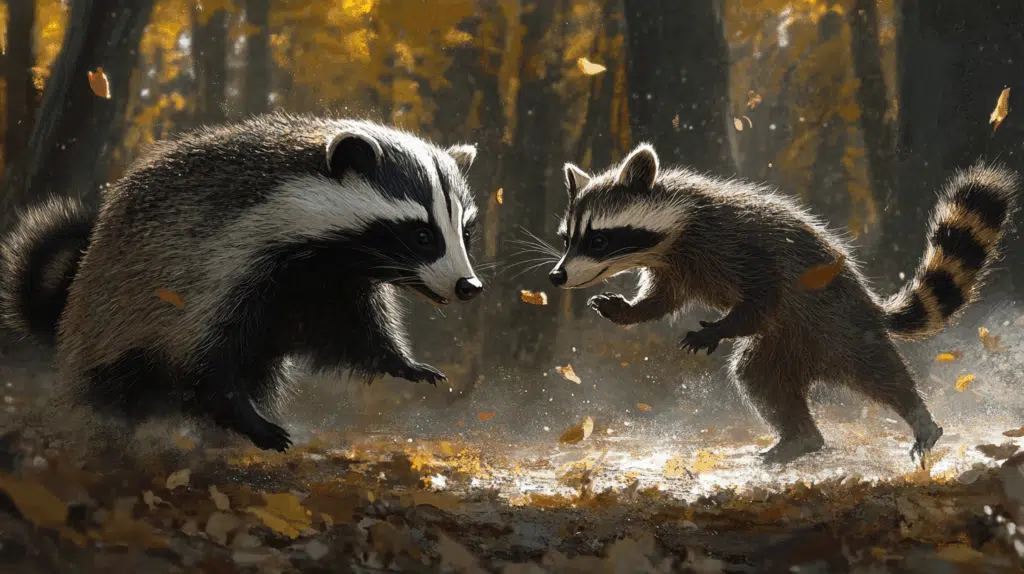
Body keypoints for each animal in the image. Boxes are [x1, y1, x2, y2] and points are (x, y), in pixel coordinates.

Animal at [0, 113, 484, 452]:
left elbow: (356, 333)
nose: (469, 286)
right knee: (113, 390)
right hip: (112, 331)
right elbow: (208, 362)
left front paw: (408, 364)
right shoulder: (217, 270)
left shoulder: (333, 285)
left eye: (465, 231)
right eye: (421, 234)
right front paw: (259, 426)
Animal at [548, 143, 1018, 465]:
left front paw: (719, 327)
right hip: (785, 344)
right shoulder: (675, 269)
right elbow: (660, 302)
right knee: (758, 377)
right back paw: (801, 438)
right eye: (567, 238)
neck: (673, 233)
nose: (557, 276)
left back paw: (917, 415)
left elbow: (761, 293)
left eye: (598, 240)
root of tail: (868, 303)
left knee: (880, 374)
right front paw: (628, 311)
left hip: (838, 323)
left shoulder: (736, 244)